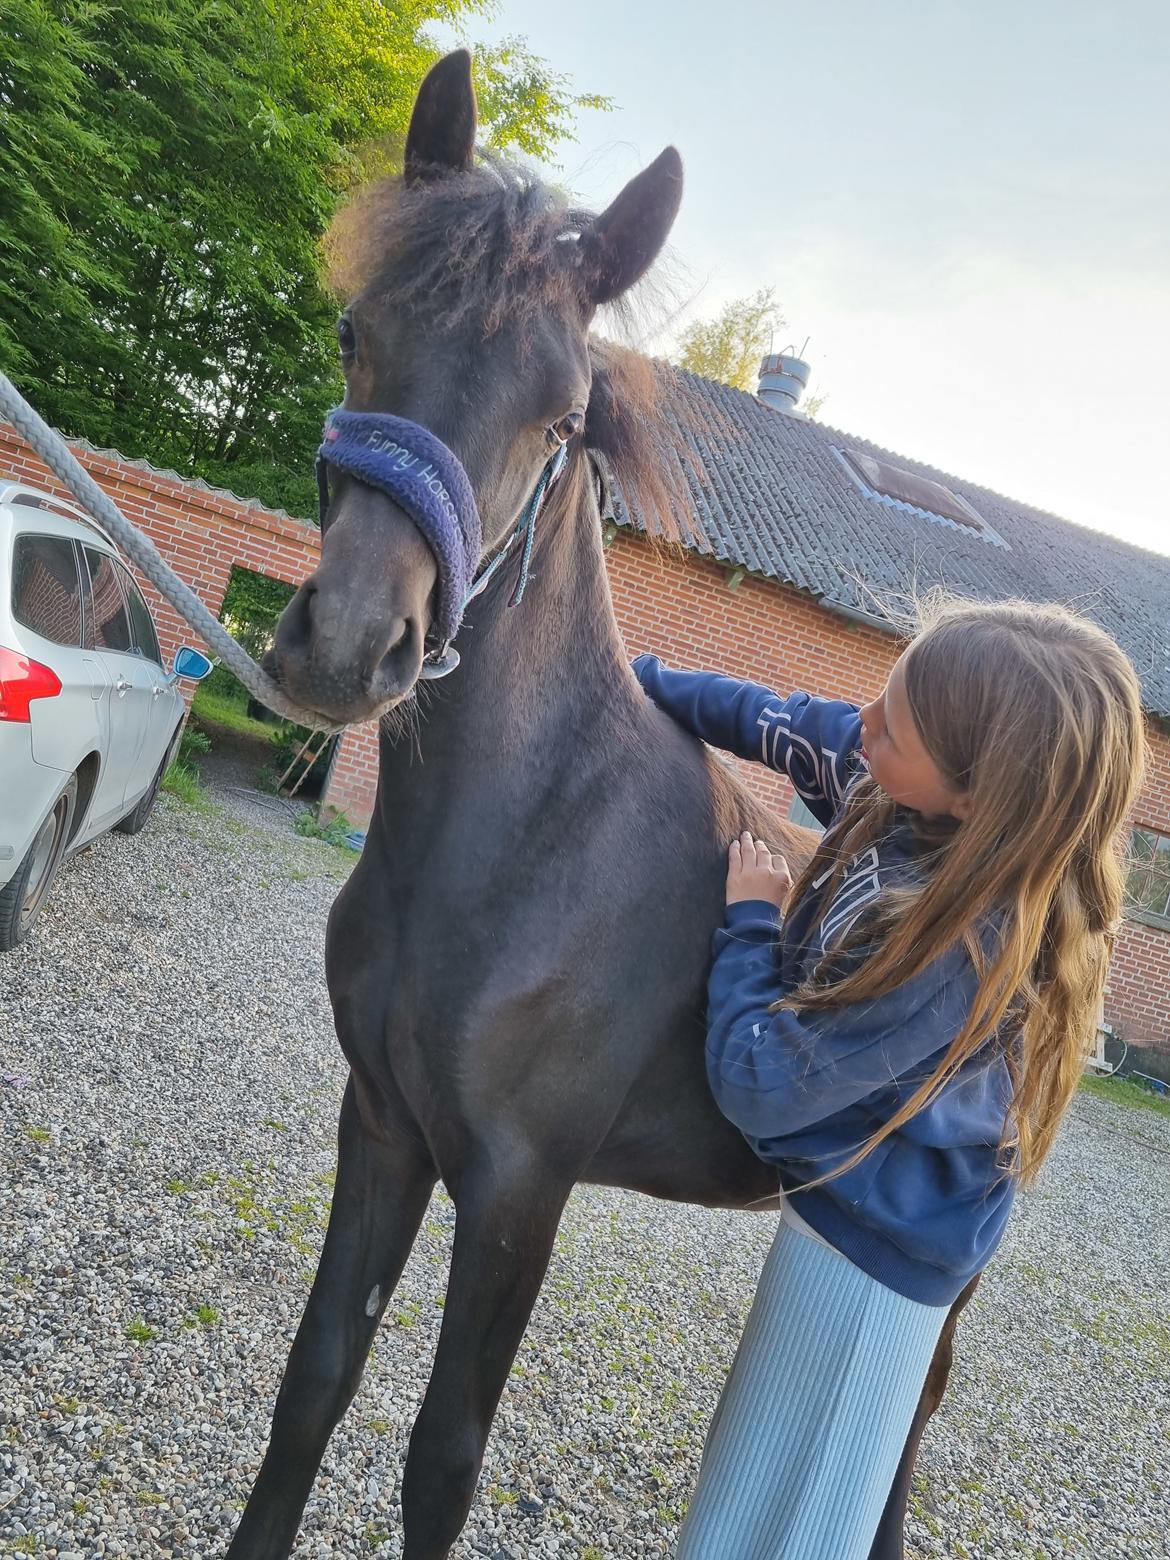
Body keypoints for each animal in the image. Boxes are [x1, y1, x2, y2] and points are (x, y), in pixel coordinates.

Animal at [227, 49, 973, 1559]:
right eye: (353, 331)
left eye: (562, 414)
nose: (348, 647)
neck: (522, 847)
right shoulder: (380, 1125)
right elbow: (316, 1375)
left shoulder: (520, 1189)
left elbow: (442, 1457)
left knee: (908, 1421)